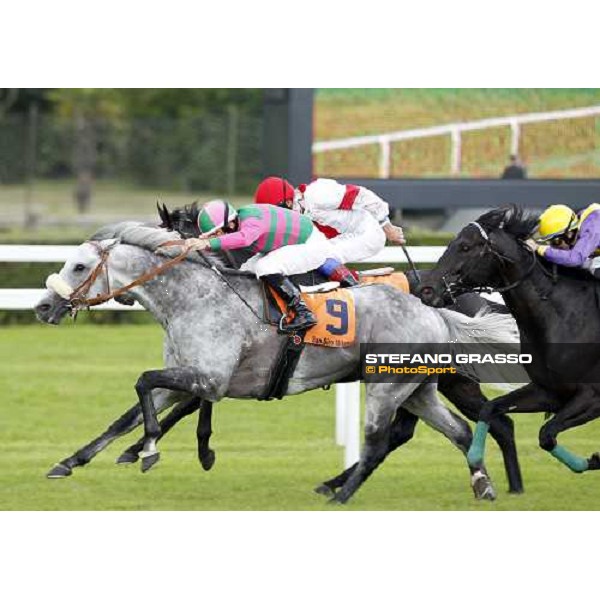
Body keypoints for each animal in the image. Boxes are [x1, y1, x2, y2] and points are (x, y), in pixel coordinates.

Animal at [34, 223, 520, 504]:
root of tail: (434, 310)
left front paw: (152, 450)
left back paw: (339, 494)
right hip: (417, 389)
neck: (194, 299)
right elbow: (128, 413)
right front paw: (71, 461)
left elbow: (145, 386)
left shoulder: (208, 379)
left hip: (387, 387)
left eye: (79, 267)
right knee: (459, 432)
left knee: (382, 440)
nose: (43, 307)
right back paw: (484, 484)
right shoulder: (187, 378)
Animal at [414, 204, 600, 480]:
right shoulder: (548, 391)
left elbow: (546, 434)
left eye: (465, 246)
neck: (564, 317)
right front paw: (475, 458)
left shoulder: (592, 395)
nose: (425, 290)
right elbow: (492, 409)